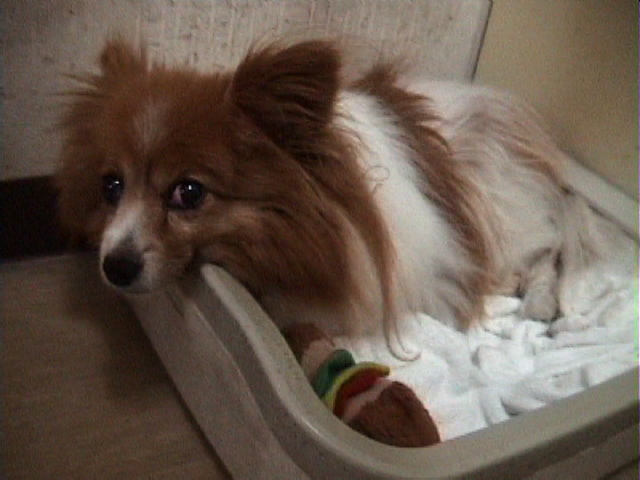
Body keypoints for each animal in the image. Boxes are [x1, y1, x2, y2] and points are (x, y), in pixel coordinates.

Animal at [56, 39, 599, 357]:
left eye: (188, 193)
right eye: (111, 186)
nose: (114, 266)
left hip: (508, 214)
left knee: (548, 251)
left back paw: (537, 301)